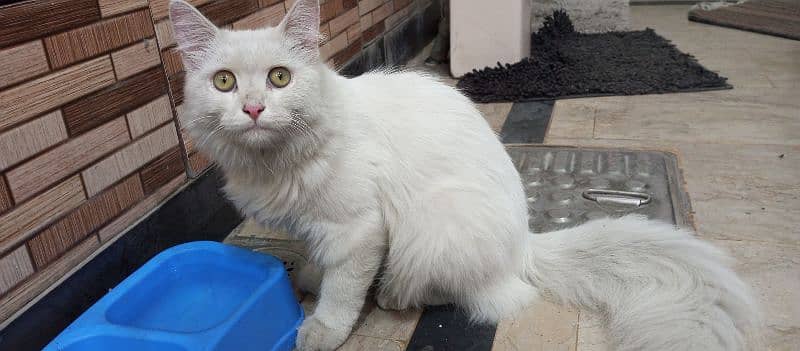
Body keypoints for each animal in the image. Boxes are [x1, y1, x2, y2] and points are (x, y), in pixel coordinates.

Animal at [170, 1, 764, 350]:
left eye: (279, 78)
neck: (272, 162)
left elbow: (343, 288)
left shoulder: (360, 229)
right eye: (224, 82)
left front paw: (321, 329)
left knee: (469, 294)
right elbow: (322, 263)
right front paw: (308, 279)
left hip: (433, 229)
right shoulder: (324, 228)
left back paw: (392, 295)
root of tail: (526, 242)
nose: (252, 109)